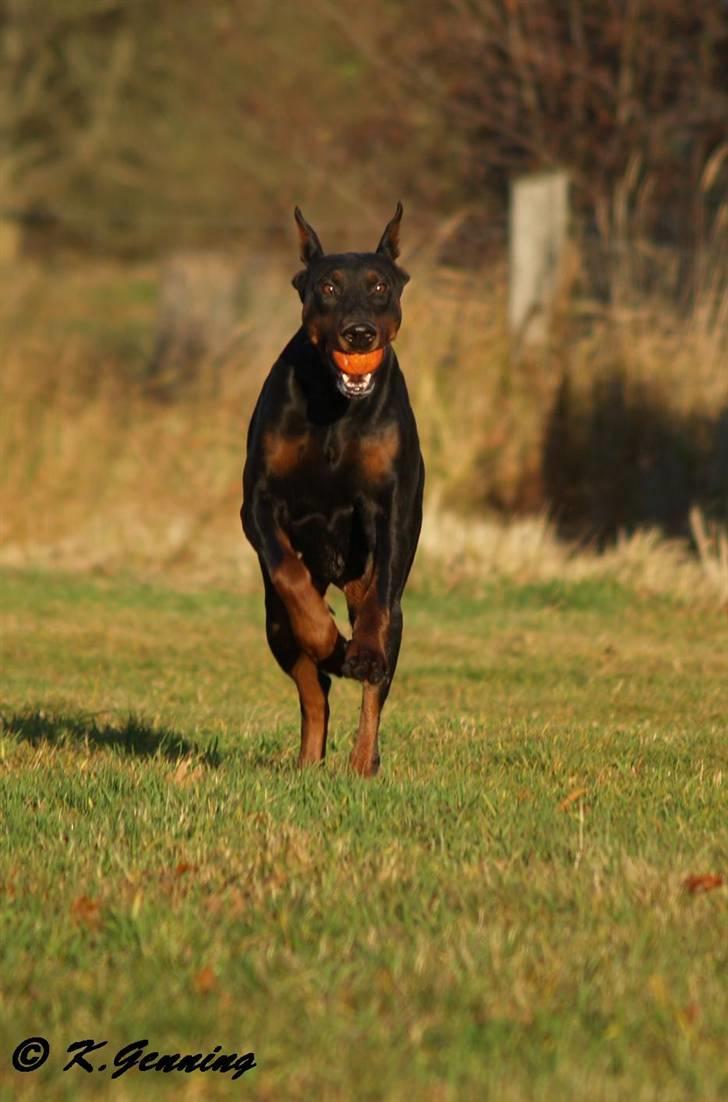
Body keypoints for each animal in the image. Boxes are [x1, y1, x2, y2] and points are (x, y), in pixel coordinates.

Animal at [241, 204, 422, 775]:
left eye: (380, 285)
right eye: (327, 286)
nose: (358, 333)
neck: (337, 410)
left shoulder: (392, 505)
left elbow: (381, 599)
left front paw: (357, 650)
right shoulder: (258, 501)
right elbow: (285, 567)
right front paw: (324, 635)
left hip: (388, 612)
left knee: (375, 679)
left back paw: (363, 761)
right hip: (273, 625)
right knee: (313, 687)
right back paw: (309, 759)